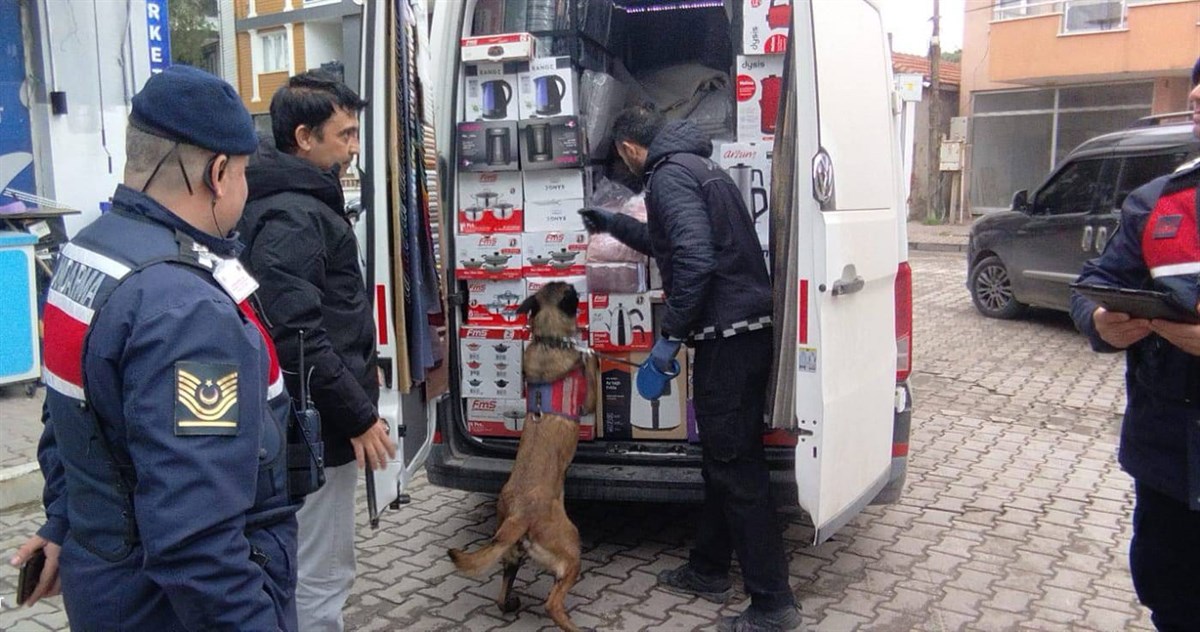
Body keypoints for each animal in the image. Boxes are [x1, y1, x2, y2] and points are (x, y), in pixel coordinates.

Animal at [448, 281, 597, 632]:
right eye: (571, 293)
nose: (579, 285)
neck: (547, 340)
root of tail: (519, 515)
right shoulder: (587, 402)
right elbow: (590, 363)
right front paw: (589, 350)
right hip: (571, 546)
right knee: (552, 603)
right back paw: (573, 625)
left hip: (511, 553)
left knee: (502, 596)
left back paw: (512, 601)